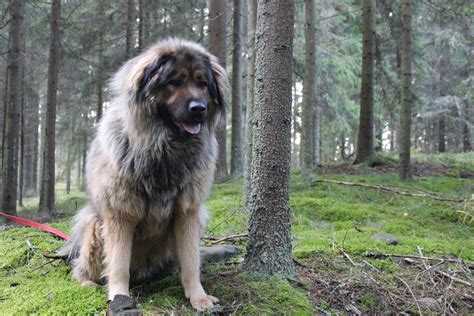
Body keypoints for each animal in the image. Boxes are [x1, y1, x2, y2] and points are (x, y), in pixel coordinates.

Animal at [60, 38, 227, 312]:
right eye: (175, 82)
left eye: (202, 83)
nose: (199, 109)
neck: (163, 147)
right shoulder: (120, 213)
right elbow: (118, 264)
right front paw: (118, 296)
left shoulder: (188, 212)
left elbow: (191, 261)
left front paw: (198, 297)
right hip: (94, 225)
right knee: (83, 268)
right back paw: (87, 282)